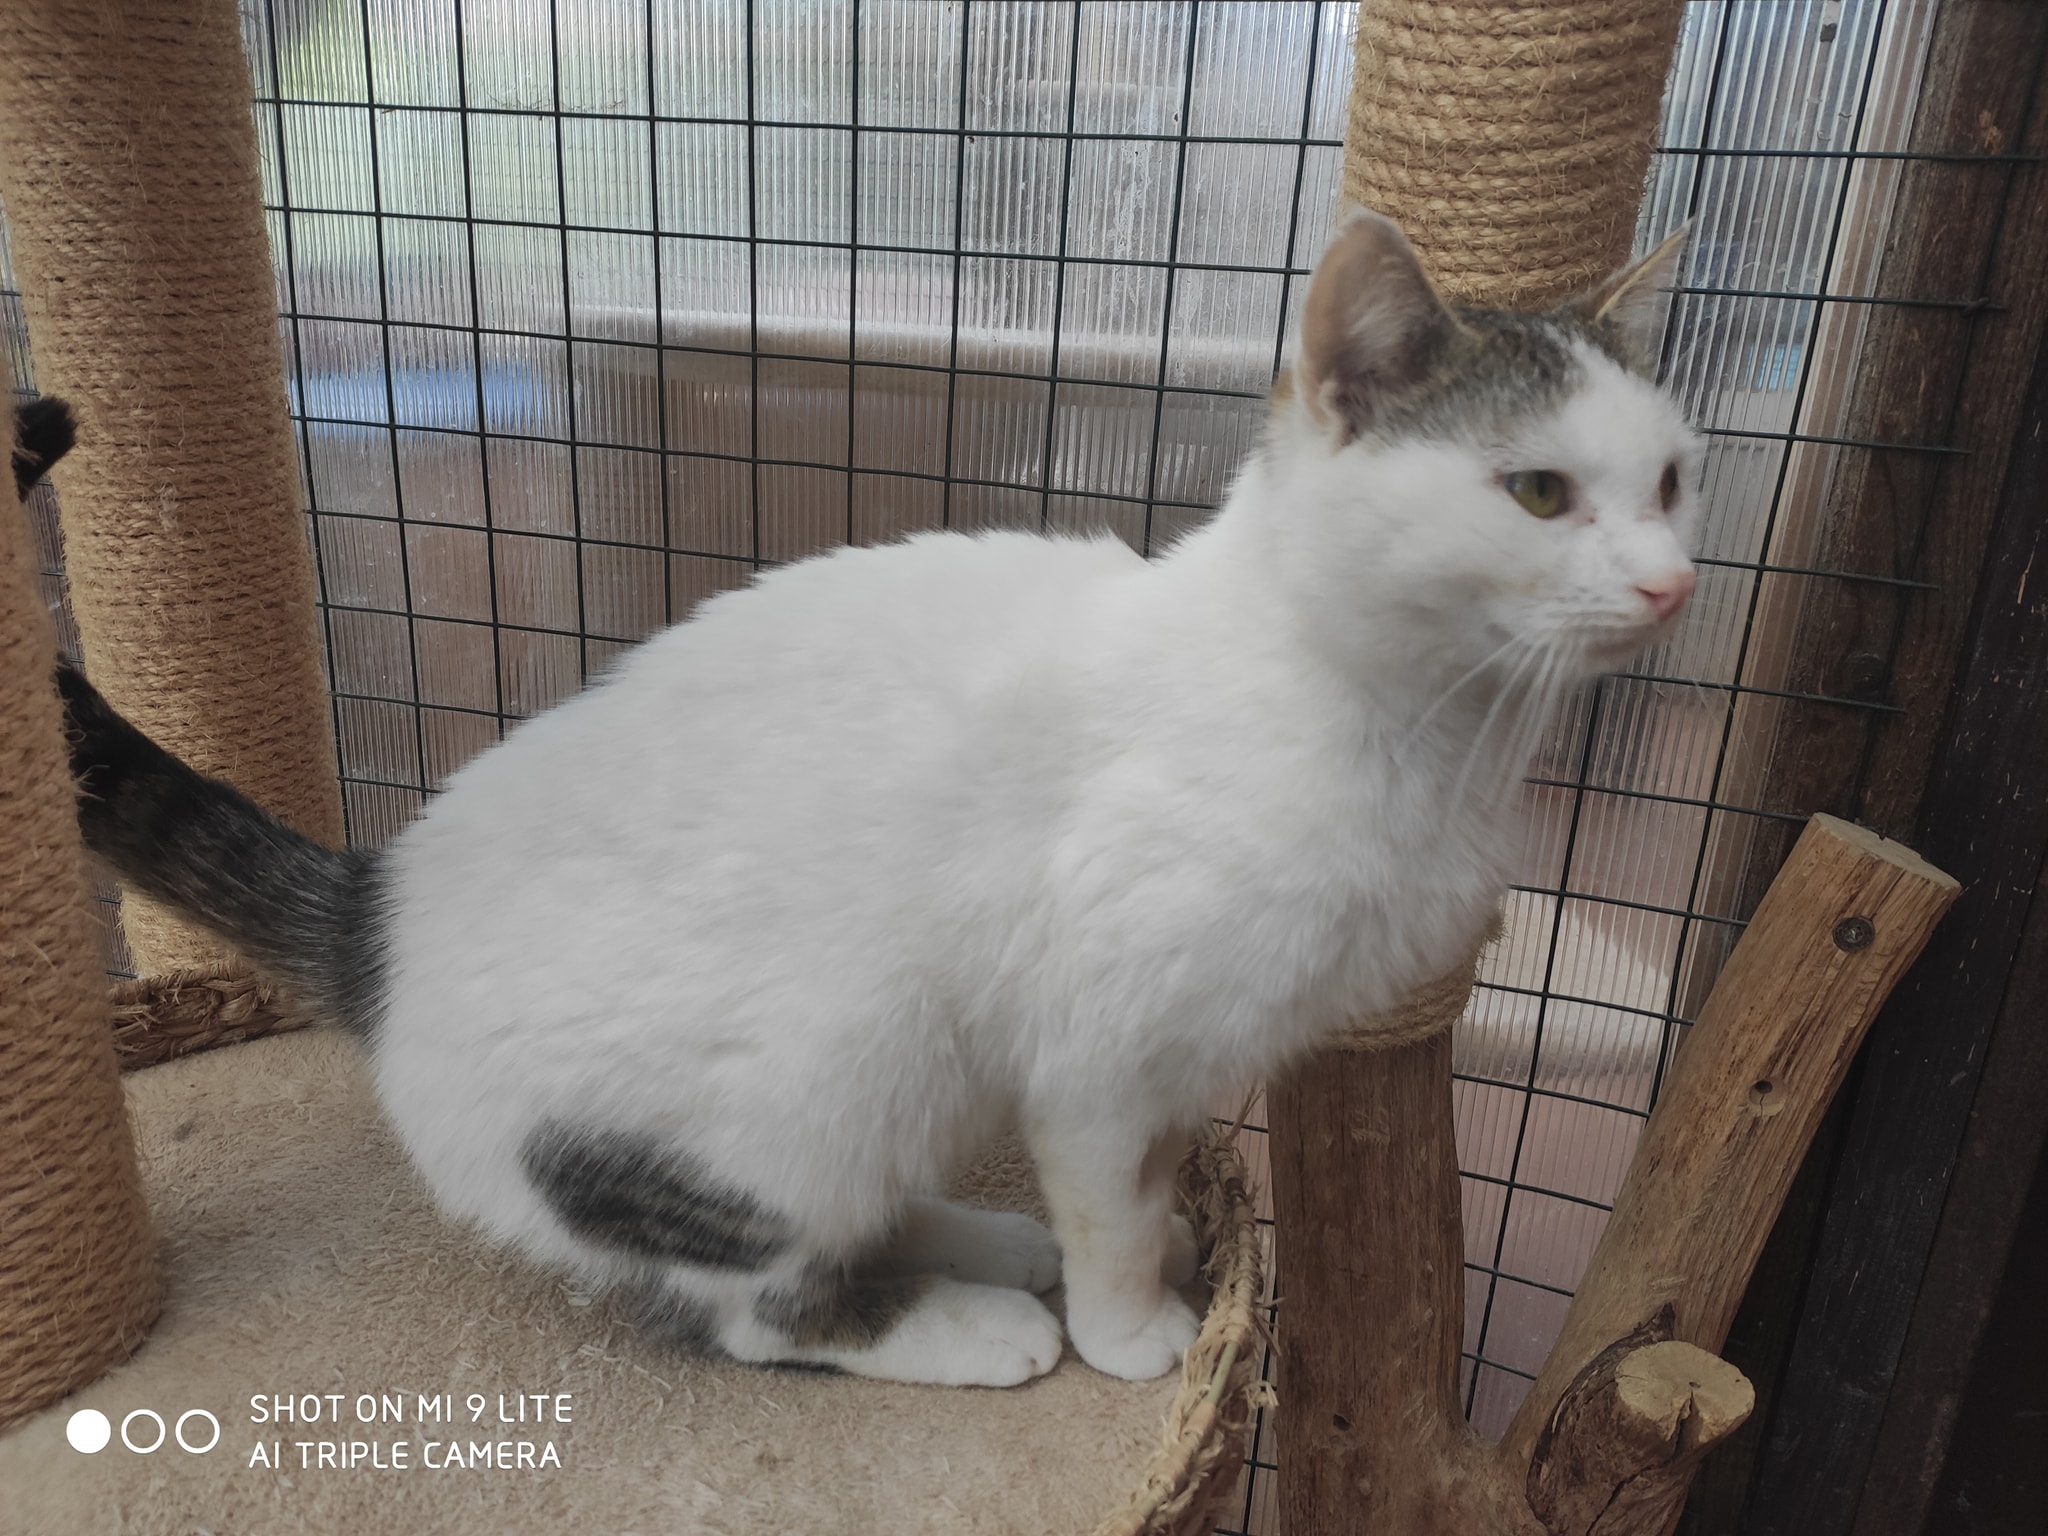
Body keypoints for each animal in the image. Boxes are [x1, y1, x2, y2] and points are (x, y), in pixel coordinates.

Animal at [55, 209, 1699, 1388]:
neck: (1404, 729)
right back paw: (969, 1323)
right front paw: (1132, 1328)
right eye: (1538, 492)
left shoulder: (1186, 1046)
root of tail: (377, 913)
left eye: (1677, 481)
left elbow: (1147, 1175)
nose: (1675, 583)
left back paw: (977, 1243)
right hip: (821, 1054)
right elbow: (1114, 1197)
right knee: (756, 1305)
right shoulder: (1100, 1033)